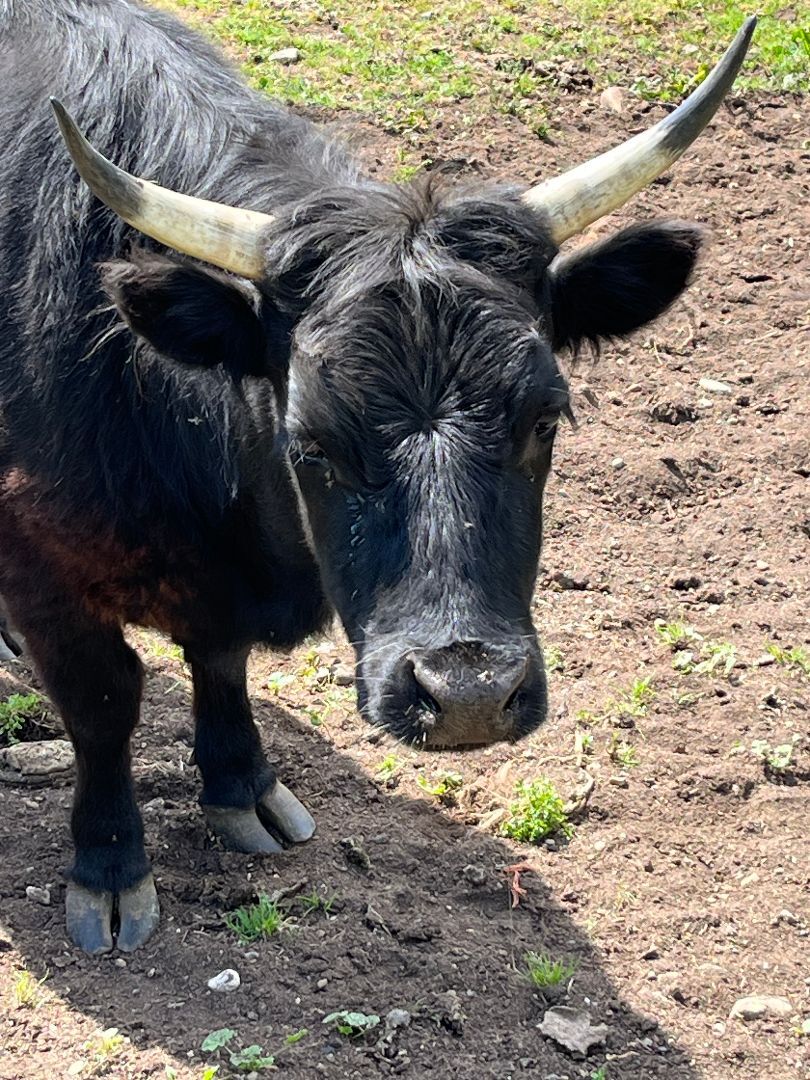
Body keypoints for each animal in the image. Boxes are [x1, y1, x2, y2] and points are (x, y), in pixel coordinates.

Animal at [0, 0, 755, 953]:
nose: (469, 695)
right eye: (311, 442)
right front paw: (108, 867)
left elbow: (220, 661)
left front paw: (243, 786)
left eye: (545, 418)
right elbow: (104, 703)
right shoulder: (45, 573)